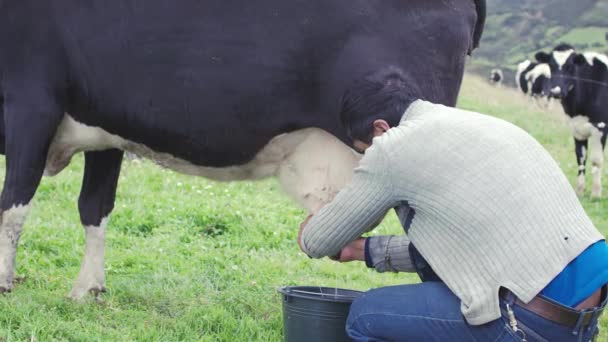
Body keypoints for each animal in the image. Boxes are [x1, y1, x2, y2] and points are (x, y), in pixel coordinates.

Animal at [0, 0, 484, 300]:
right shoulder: (105, 126)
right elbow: (94, 208)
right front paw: (89, 289)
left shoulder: (30, 104)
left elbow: (14, 205)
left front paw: (4, 283)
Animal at [536, 43, 608, 198]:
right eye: (551, 65)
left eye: (570, 66)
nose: (556, 92)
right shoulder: (576, 128)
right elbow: (580, 158)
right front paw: (579, 190)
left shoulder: (600, 126)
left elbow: (596, 161)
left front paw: (596, 193)